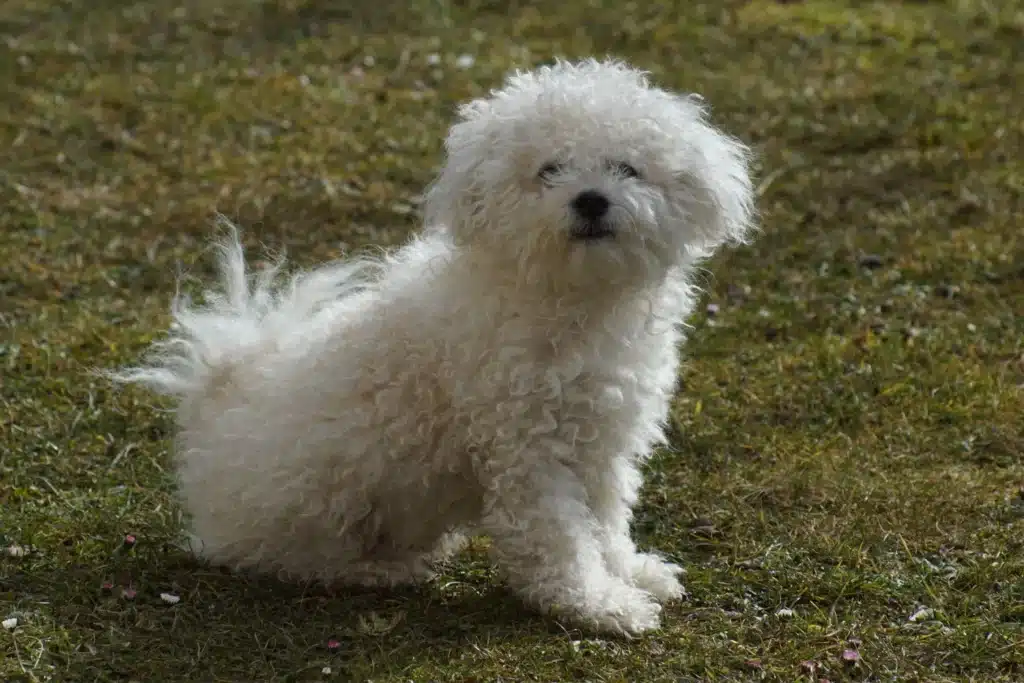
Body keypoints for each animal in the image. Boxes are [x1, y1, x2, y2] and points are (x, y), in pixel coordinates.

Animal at [116, 58, 757, 634]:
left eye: (628, 168)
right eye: (549, 170)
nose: (592, 199)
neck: (571, 299)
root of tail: (218, 400)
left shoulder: (602, 441)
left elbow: (605, 518)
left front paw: (630, 573)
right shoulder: (527, 451)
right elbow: (557, 537)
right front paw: (597, 604)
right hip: (319, 498)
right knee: (281, 559)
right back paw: (379, 570)